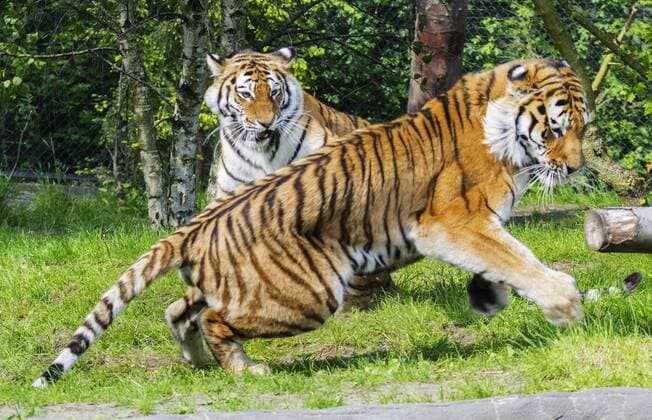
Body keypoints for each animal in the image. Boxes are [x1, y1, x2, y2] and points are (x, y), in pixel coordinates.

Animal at [33, 58, 591, 387]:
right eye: (555, 129)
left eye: (583, 128)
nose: (575, 167)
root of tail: (196, 224)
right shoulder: (457, 221)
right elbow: (519, 259)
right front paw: (565, 305)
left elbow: (507, 262)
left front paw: (491, 298)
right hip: (305, 295)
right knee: (212, 319)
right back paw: (245, 368)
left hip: (234, 284)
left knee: (178, 309)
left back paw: (198, 362)